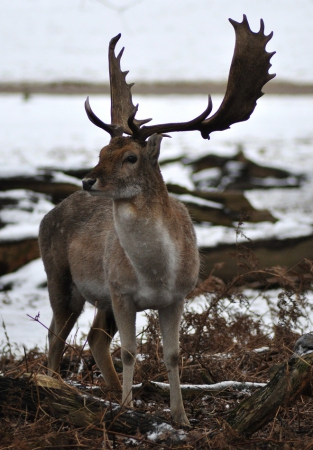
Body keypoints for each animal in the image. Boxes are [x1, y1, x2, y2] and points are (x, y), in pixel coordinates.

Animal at [38, 14, 272, 426]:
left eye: (131, 157)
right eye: (101, 151)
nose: (87, 180)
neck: (156, 273)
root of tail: (45, 217)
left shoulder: (178, 295)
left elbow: (173, 355)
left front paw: (181, 417)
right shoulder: (121, 290)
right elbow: (131, 351)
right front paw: (130, 410)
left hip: (95, 295)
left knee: (93, 336)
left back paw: (108, 390)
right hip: (61, 277)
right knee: (56, 335)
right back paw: (57, 386)